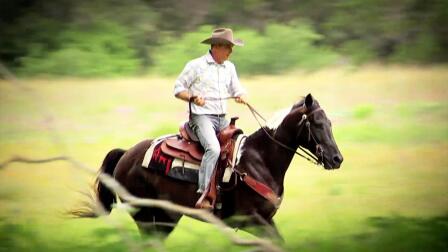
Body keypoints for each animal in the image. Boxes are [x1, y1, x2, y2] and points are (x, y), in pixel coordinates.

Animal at [76, 93, 344, 239]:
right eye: (316, 123)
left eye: (330, 123)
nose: (337, 159)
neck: (261, 159)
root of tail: (126, 154)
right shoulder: (253, 221)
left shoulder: (267, 220)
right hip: (145, 215)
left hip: (165, 218)